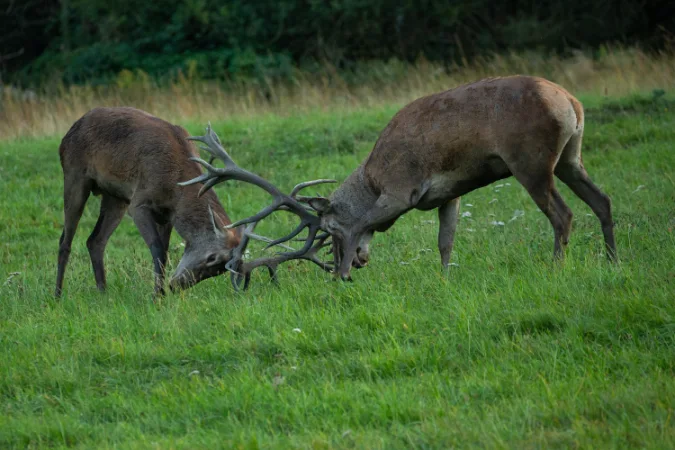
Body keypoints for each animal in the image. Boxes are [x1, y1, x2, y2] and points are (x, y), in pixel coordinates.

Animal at [180, 76, 616, 290]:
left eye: (329, 230)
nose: (356, 261)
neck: (372, 178)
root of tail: (570, 102)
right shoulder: (450, 194)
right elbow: (445, 241)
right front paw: (445, 279)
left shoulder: (401, 189)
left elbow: (363, 222)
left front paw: (340, 278)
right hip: (571, 157)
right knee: (603, 200)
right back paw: (613, 260)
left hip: (530, 160)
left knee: (563, 214)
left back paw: (556, 267)